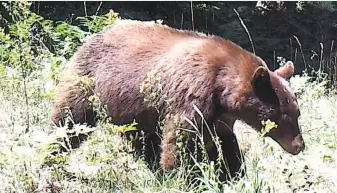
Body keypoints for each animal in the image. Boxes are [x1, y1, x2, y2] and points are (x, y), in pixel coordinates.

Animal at [50, 19, 304, 182]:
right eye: (281, 116)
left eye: (297, 114)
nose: (299, 146)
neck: (222, 85)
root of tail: (89, 38)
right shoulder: (192, 96)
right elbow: (179, 139)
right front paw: (178, 176)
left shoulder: (221, 118)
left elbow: (226, 145)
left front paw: (234, 174)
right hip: (87, 83)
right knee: (68, 121)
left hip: (131, 112)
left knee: (141, 139)